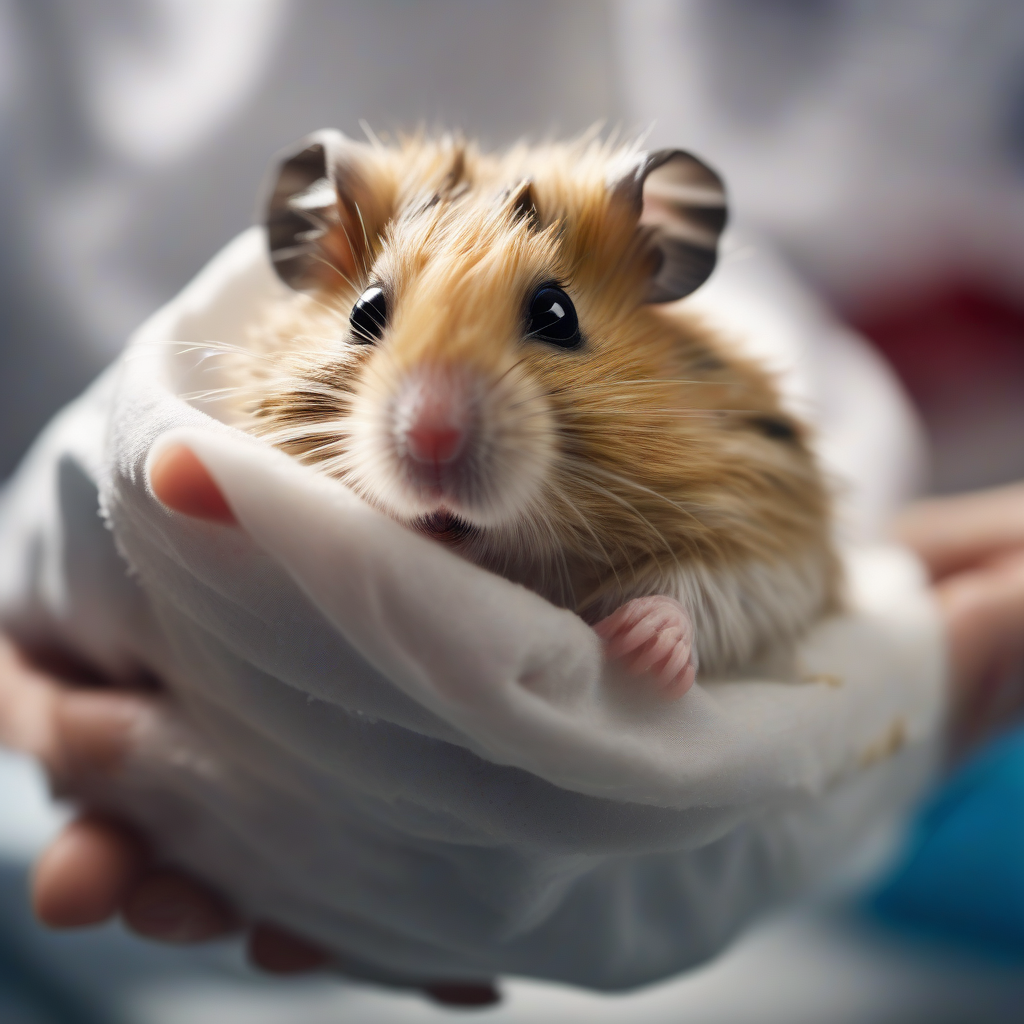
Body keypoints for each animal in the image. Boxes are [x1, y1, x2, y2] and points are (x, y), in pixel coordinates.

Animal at [227, 130, 839, 695]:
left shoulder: (768, 515)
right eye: (364, 311)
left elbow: (714, 591)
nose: (431, 440)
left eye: (556, 314)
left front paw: (637, 649)